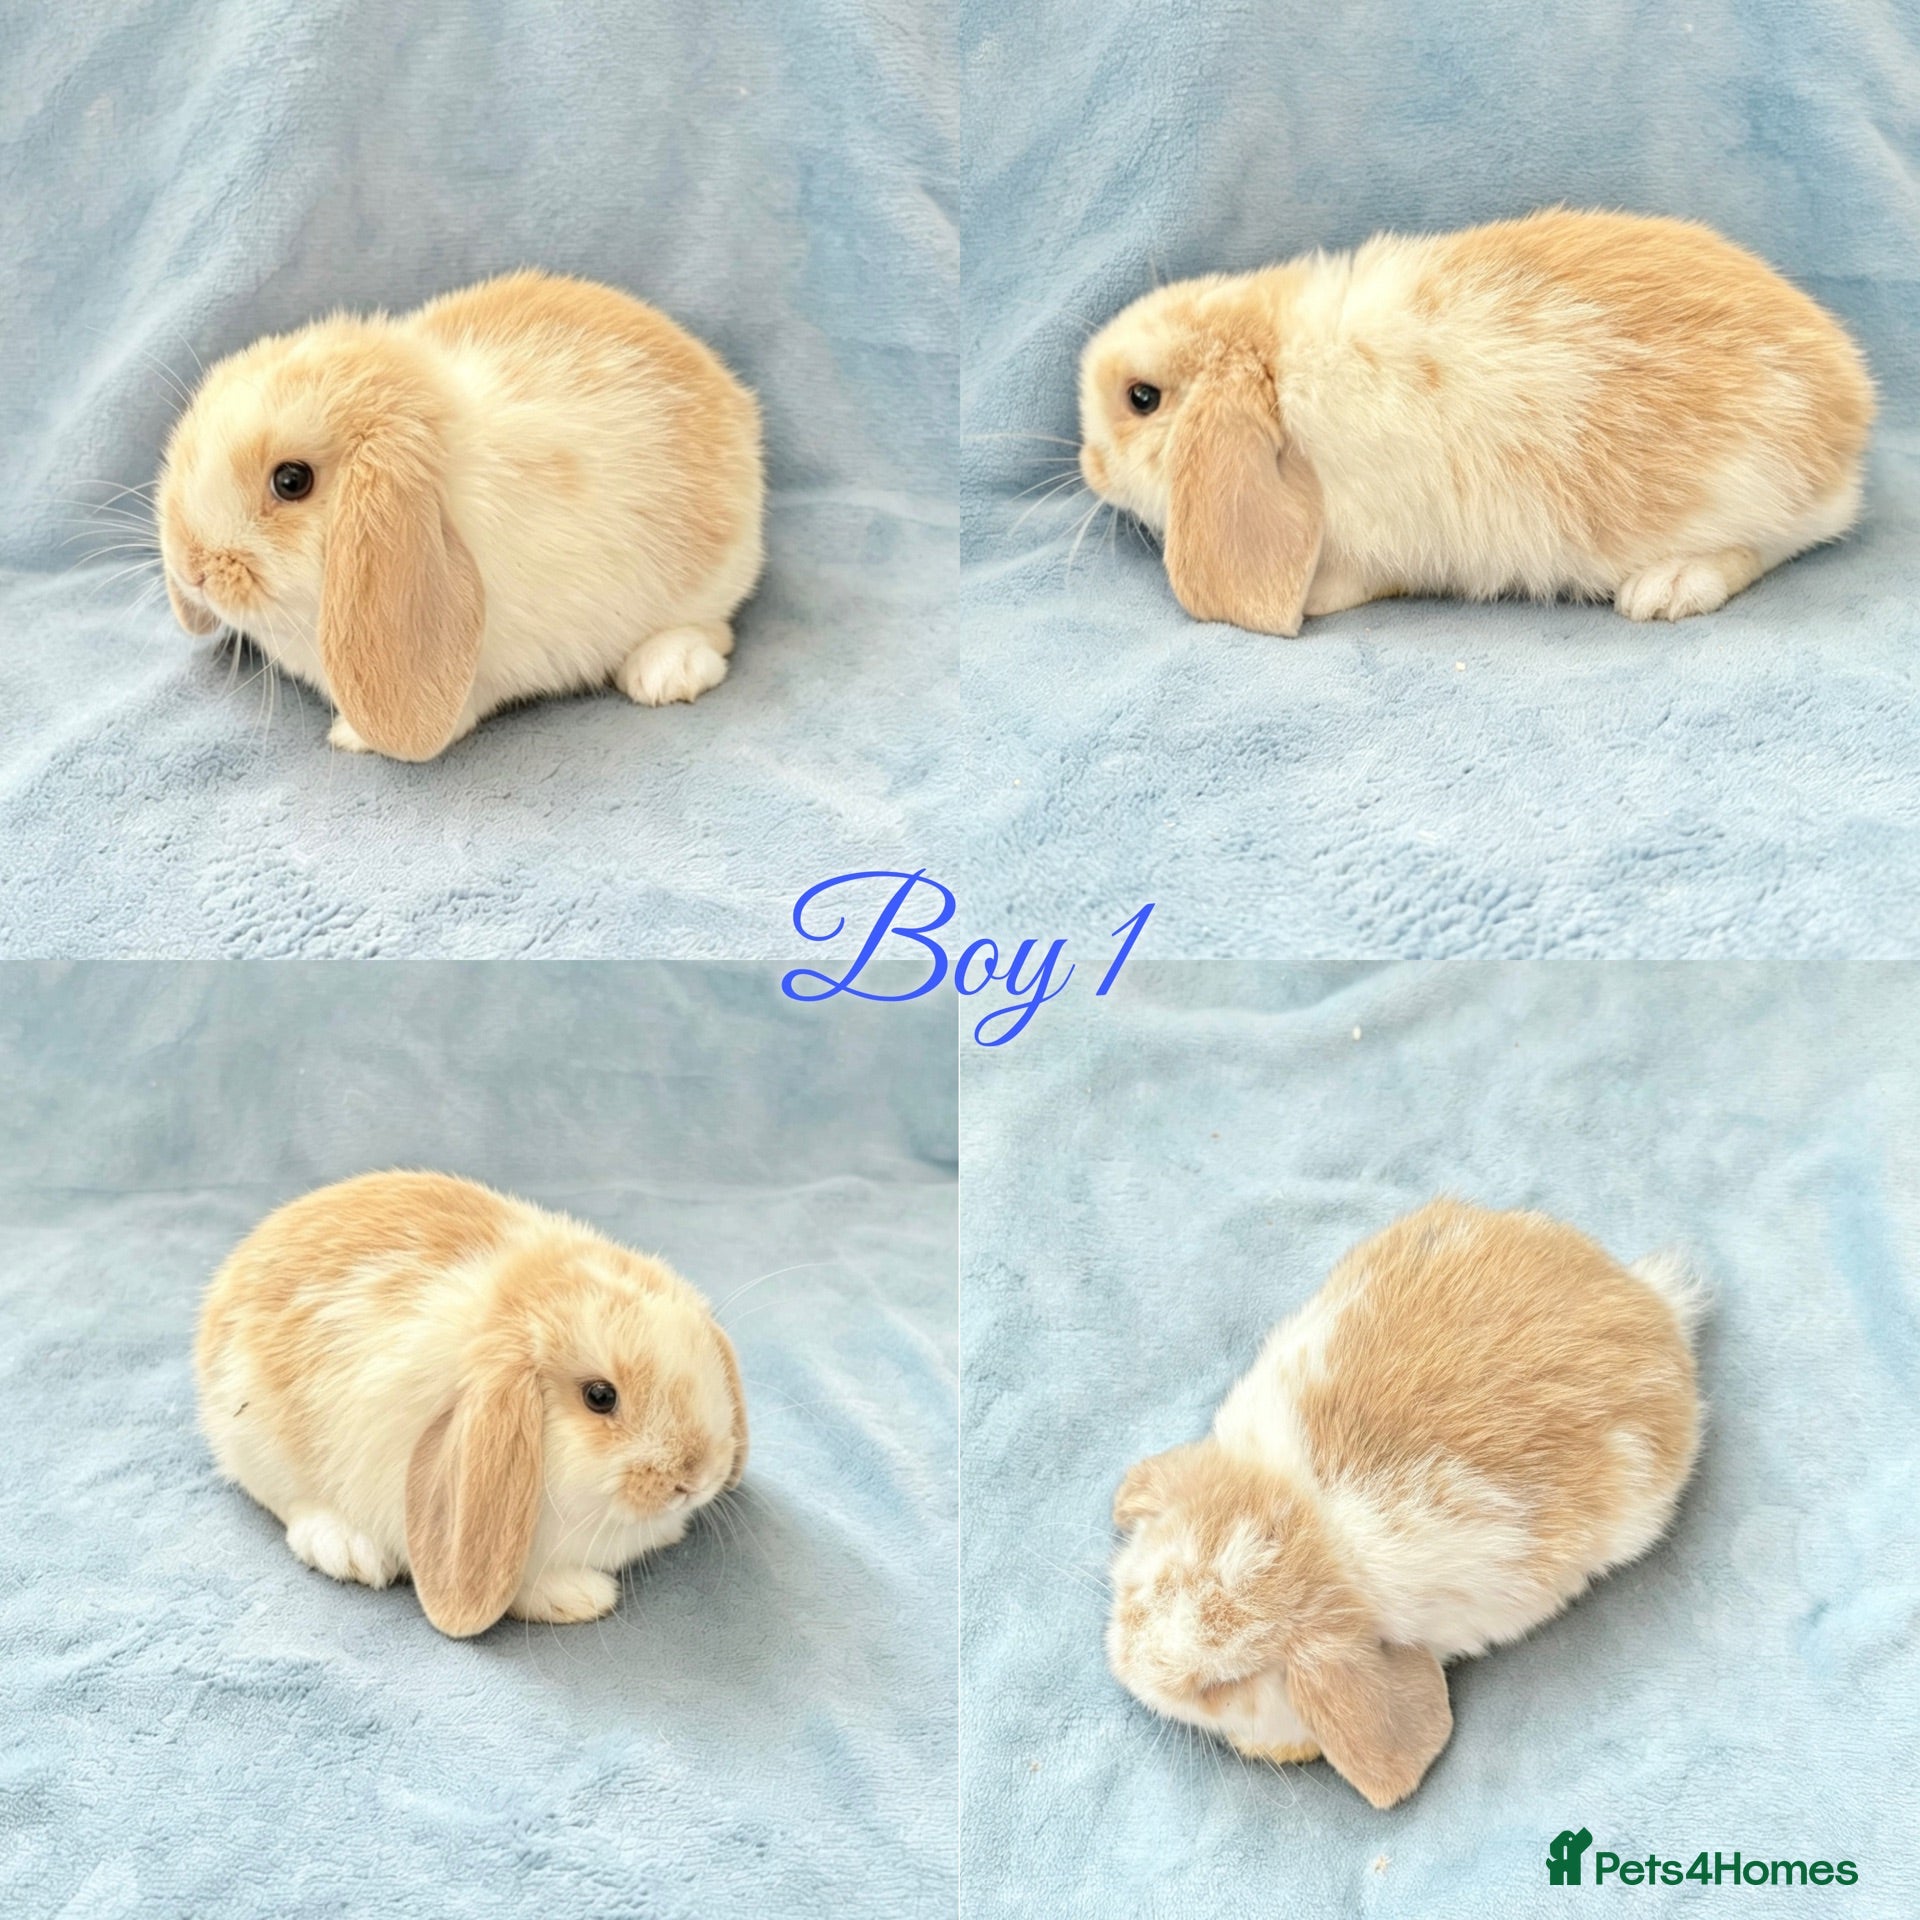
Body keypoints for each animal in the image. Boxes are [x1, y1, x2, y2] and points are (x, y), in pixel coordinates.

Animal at [157, 269, 764, 760]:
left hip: (713, 575)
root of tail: (734, 398)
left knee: (716, 630)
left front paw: (355, 736)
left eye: (291, 481)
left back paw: (666, 672)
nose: (193, 568)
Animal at [1077, 209, 1873, 635]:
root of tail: (1852, 404)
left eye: (1141, 398)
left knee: (1766, 550)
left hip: (1742, 491)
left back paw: (1667, 589)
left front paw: (1316, 597)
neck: (1278, 368)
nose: (1088, 467)